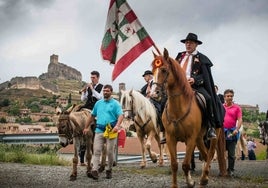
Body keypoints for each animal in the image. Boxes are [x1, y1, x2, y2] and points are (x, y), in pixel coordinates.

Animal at [152, 48, 225, 188]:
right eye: (152, 69)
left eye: (163, 70)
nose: (153, 93)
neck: (178, 108)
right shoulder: (171, 138)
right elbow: (174, 165)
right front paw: (177, 185)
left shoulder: (190, 138)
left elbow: (186, 164)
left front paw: (190, 182)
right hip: (199, 138)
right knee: (205, 154)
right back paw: (204, 177)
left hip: (213, 136)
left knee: (210, 154)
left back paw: (204, 178)